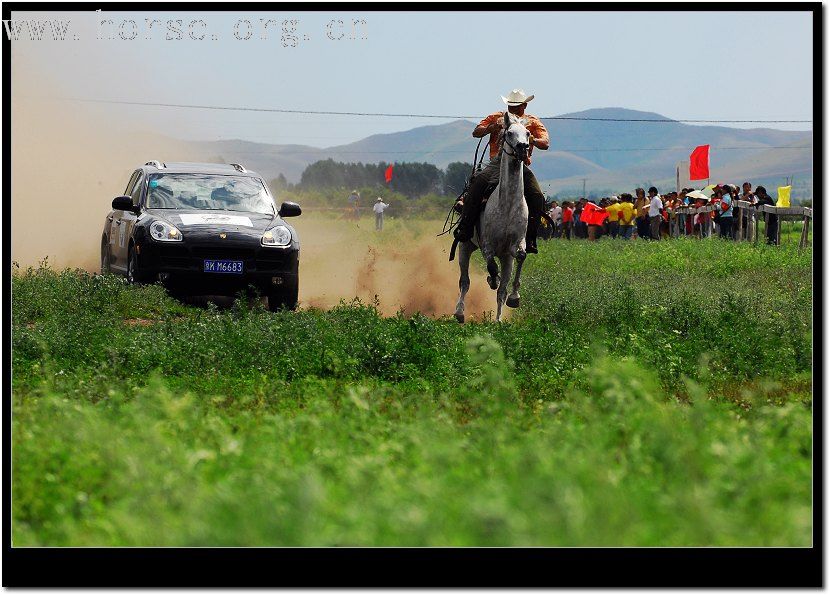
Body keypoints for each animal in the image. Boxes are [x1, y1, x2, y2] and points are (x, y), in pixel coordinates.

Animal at [458, 112, 528, 326]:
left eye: (528, 133)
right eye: (509, 132)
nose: (523, 148)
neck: (507, 205)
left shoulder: (513, 249)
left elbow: (519, 261)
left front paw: (513, 299)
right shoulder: (487, 245)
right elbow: (490, 266)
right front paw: (492, 279)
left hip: (505, 257)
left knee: (500, 290)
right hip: (465, 246)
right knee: (464, 282)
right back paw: (459, 312)